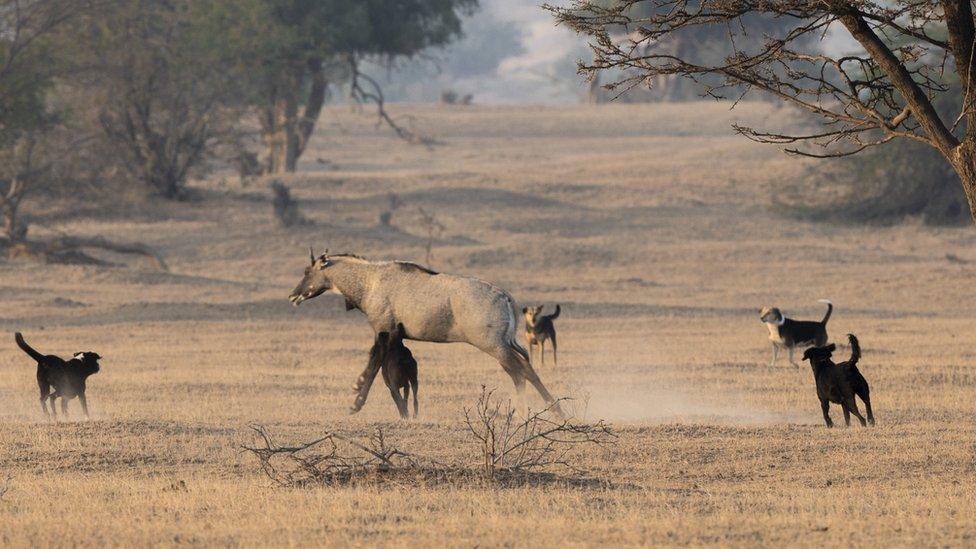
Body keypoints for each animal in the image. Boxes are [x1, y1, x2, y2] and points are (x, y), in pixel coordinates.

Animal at [288, 249, 564, 416]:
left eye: (307, 271)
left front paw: (356, 402)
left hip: (495, 347)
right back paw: (538, 411)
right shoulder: (390, 335)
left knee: (522, 371)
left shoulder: (383, 331)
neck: (370, 281)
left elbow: (374, 364)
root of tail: (505, 296)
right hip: (502, 348)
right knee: (522, 371)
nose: (293, 296)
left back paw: (541, 411)